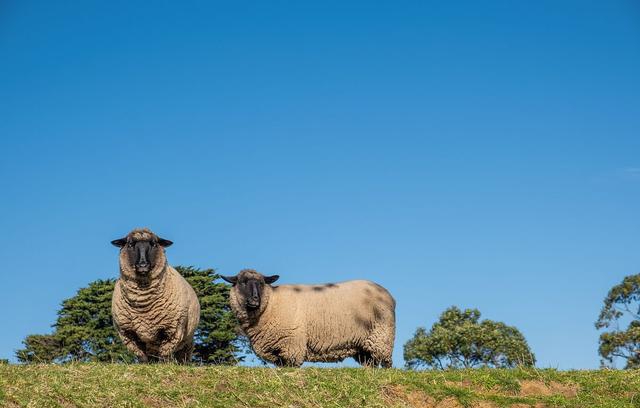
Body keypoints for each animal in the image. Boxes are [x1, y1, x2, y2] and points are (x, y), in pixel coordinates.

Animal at [110, 226, 199, 364]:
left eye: (154, 244)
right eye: (130, 244)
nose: (143, 265)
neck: (143, 302)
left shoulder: (171, 330)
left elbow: (164, 355)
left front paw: (164, 365)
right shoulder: (128, 334)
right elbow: (142, 357)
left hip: (187, 341)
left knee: (182, 355)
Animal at [220, 270, 396, 368]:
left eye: (261, 283)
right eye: (242, 283)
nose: (255, 299)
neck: (272, 303)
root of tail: (386, 293)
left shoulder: (291, 345)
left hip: (382, 337)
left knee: (386, 364)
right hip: (363, 346)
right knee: (371, 364)